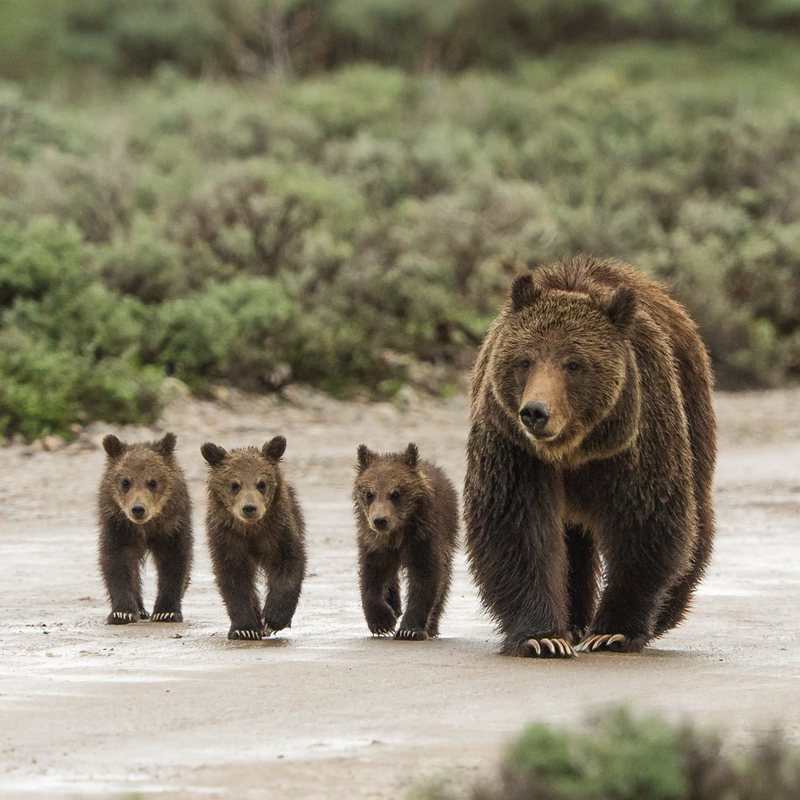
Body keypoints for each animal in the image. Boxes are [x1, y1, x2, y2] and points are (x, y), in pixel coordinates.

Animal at [466, 256, 716, 656]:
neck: (574, 449)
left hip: (692, 411)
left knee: (696, 515)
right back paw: (573, 620)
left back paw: (666, 611)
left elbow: (646, 521)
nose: (535, 412)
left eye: (573, 363)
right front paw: (542, 636)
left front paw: (613, 631)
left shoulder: (635, 439)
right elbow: (516, 527)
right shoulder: (513, 446)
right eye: (525, 360)